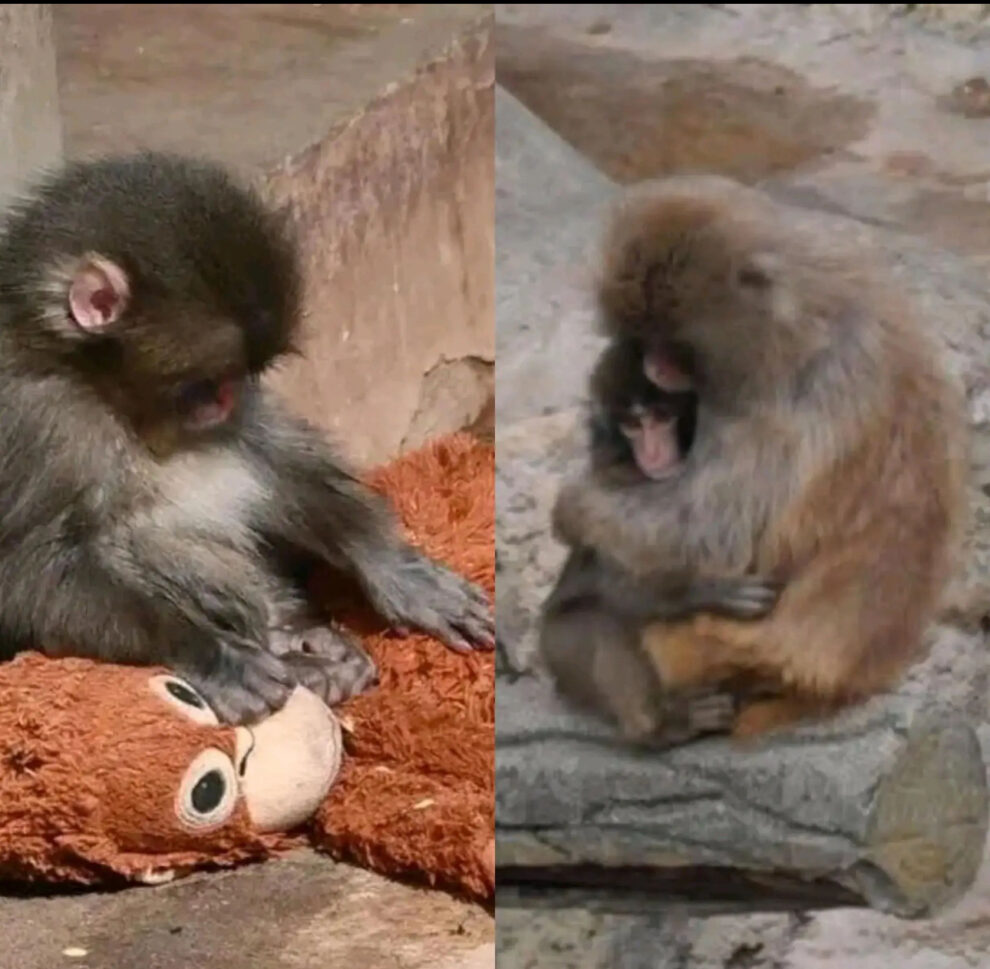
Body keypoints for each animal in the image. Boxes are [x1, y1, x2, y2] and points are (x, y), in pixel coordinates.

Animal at [0, 152, 494, 725]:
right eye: (202, 385)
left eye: (238, 378)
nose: (226, 402)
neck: (94, 385)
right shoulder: (34, 420)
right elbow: (26, 570)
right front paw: (209, 652)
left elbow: (268, 453)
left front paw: (392, 564)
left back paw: (299, 635)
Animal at [552, 173, 967, 739]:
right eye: (645, 337)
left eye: (671, 342)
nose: (655, 367)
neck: (801, 316)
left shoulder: (786, 394)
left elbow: (714, 529)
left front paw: (573, 507)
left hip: (697, 646)